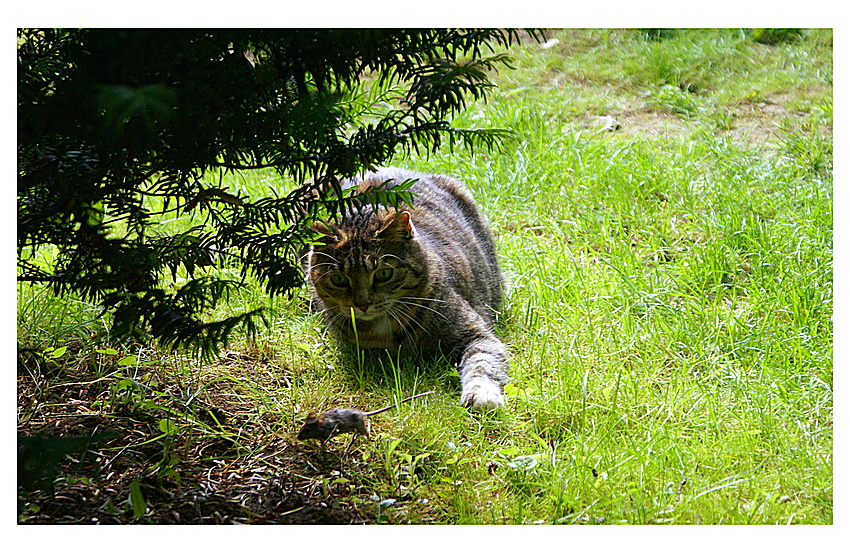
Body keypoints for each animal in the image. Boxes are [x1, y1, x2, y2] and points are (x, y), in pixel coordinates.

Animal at [302, 168, 506, 410]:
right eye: (339, 279)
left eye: (383, 274)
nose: (362, 304)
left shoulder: (475, 332)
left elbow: (483, 360)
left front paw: (482, 394)